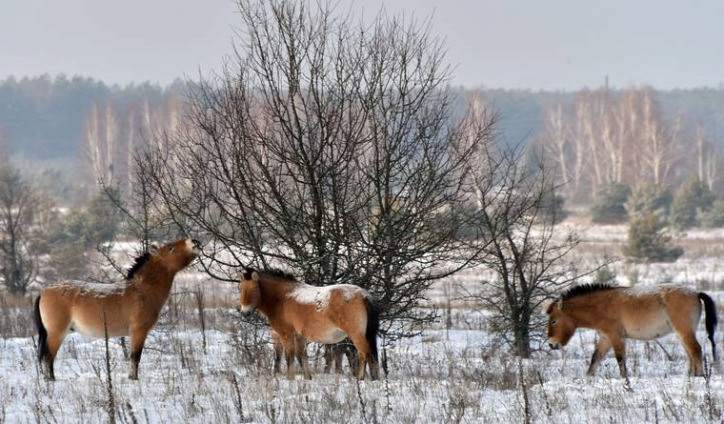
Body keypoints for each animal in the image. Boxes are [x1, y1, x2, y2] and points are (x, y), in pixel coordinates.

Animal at [33, 238, 199, 380]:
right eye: (170, 247)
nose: (194, 241)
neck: (142, 290)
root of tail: (43, 291)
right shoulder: (138, 331)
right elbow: (135, 357)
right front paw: (133, 378)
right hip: (57, 333)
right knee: (49, 357)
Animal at [240, 266, 382, 380]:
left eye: (254, 289)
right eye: (240, 288)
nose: (244, 312)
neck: (281, 298)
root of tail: (363, 295)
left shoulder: (286, 334)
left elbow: (289, 356)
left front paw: (290, 379)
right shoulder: (299, 336)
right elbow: (302, 356)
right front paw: (307, 377)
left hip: (356, 335)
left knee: (365, 354)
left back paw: (362, 379)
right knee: (365, 356)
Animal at [548, 284, 720, 378]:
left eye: (554, 320)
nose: (551, 344)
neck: (599, 305)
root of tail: (695, 293)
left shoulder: (615, 337)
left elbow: (620, 359)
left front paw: (625, 380)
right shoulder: (605, 338)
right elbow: (595, 358)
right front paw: (588, 378)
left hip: (684, 330)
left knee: (696, 350)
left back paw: (698, 377)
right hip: (682, 333)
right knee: (690, 353)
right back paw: (690, 376)